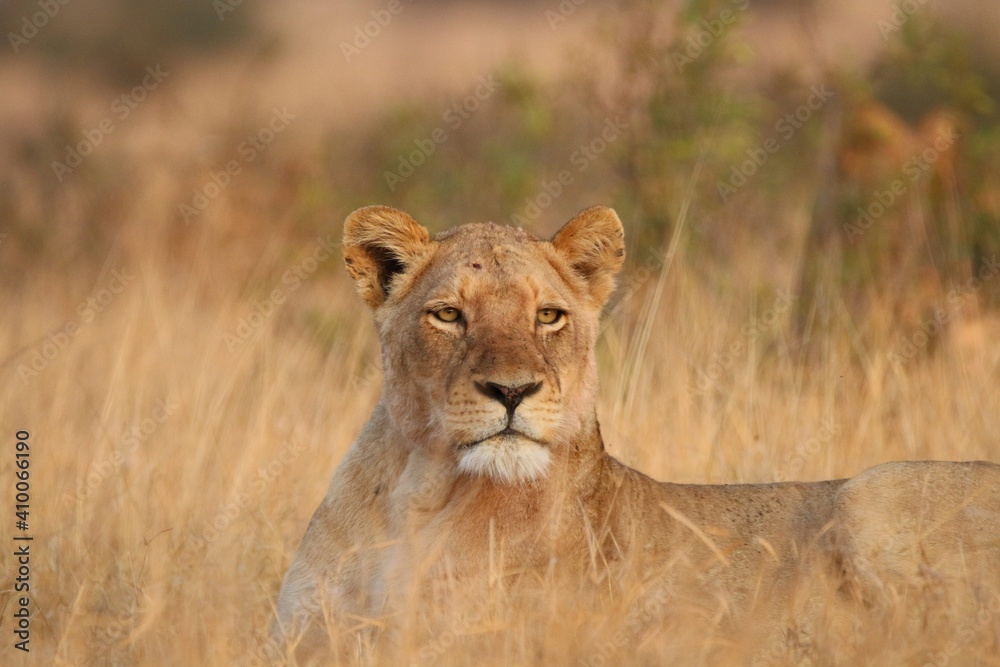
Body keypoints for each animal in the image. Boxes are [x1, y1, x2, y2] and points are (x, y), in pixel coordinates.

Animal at [273, 205, 1000, 660]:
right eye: (448, 314)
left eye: (549, 316)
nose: (512, 391)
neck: (415, 495)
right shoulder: (299, 638)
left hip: (869, 493)